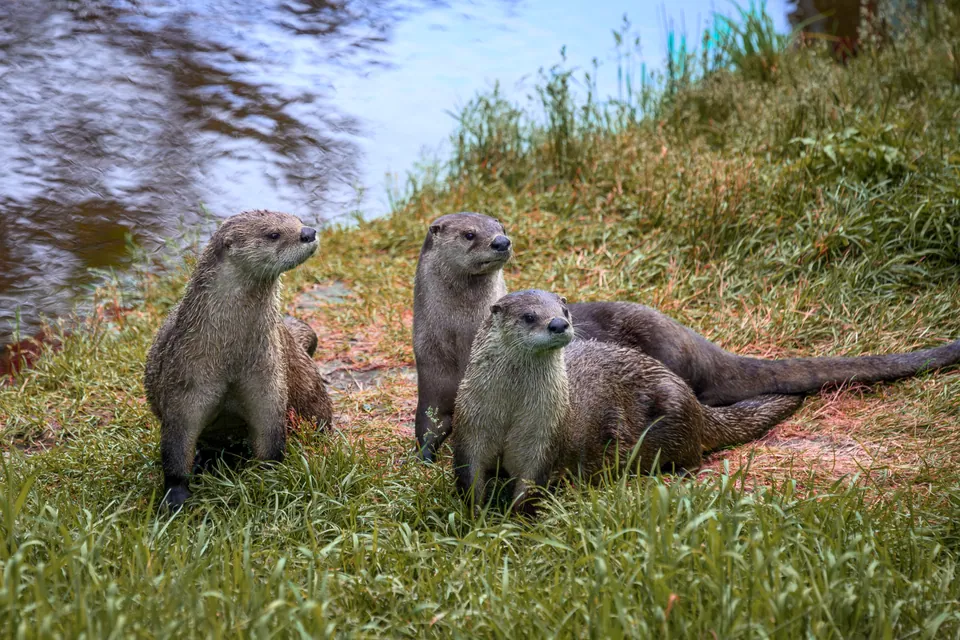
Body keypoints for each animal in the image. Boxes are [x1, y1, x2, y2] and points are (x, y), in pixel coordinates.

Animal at [144, 209, 333, 510]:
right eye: (273, 233)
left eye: (298, 220)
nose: (309, 232)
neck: (230, 358)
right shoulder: (183, 389)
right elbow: (175, 450)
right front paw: (175, 497)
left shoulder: (268, 385)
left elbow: (270, 440)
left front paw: (270, 479)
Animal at [413, 212, 960, 460]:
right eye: (469, 233)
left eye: (499, 224)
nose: (501, 241)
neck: (460, 340)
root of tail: (696, 343)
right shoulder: (431, 377)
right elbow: (427, 426)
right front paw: (425, 457)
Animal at [452, 290, 802, 516]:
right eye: (529, 316)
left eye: (564, 312)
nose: (559, 324)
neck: (511, 411)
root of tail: (690, 398)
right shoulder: (470, 426)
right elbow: (469, 477)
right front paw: (475, 518)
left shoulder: (543, 437)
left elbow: (530, 486)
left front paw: (514, 520)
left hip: (673, 408)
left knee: (694, 454)